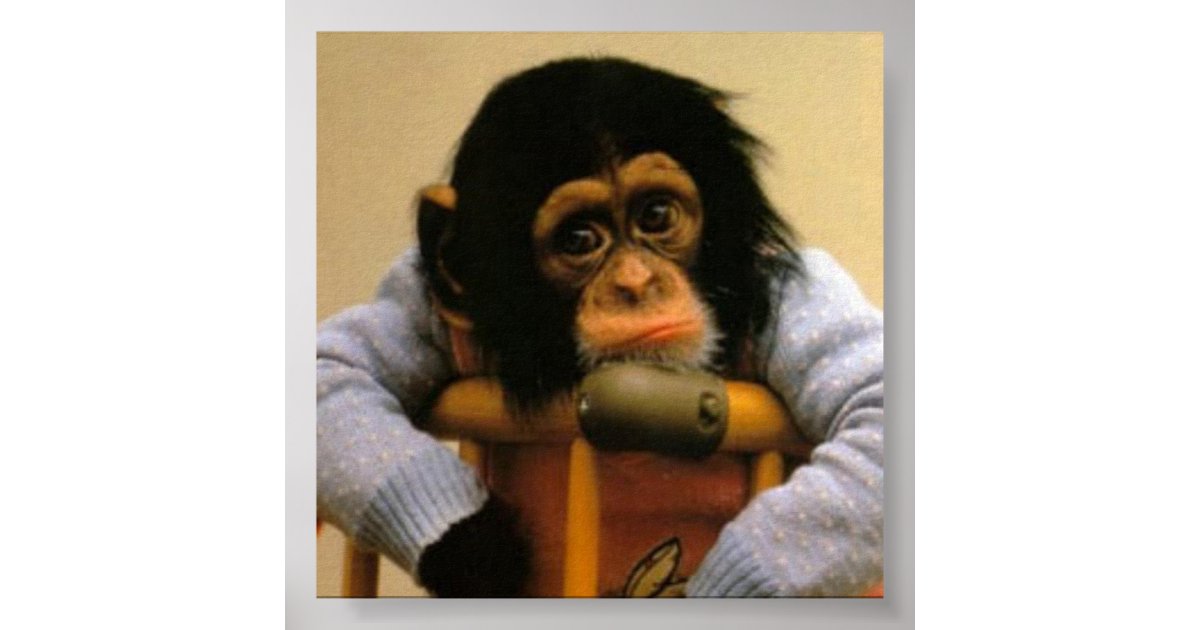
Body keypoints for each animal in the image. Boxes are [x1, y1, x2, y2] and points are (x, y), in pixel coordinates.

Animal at [317, 57, 884, 597]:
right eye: (579, 239)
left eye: (656, 215)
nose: (635, 281)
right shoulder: (427, 303)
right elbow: (339, 363)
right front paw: (473, 547)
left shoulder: (796, 298)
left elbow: (869, 397)